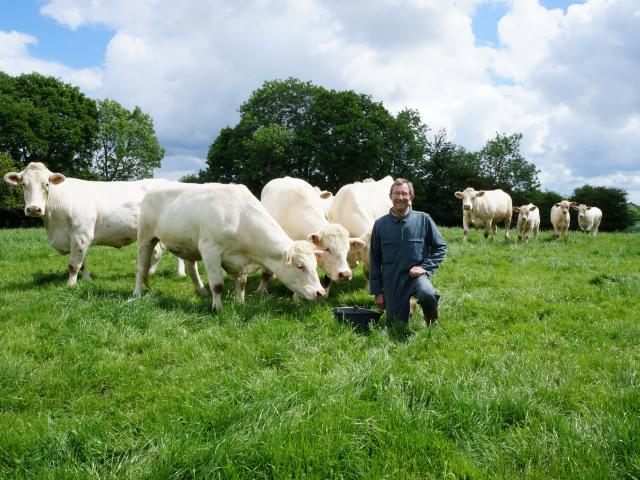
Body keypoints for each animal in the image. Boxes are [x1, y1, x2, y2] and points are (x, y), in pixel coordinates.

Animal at [4, 163, 185, 286]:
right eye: (23, 184)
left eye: (46, 184)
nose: (34, 209)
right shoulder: (75, 237)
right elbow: (83, 263)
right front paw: (87, 280)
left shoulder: (81, 235)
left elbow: (73, 265)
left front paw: (70, 285)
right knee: (157, 251)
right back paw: (151, 272)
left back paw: (180, 273)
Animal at [133, 181, 328, 312]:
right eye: (300, 266)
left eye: (316, 265)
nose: (320, 293)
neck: (240, 218)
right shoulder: (210, 250)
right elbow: (218, 284)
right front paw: (217, 308)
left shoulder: (240, 260)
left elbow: (241, 283)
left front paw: (240, 303)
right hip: (145, 237)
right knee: (141, 267)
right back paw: (136, 293)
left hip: (187, 245)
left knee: (191, 269)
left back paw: (201, 291)